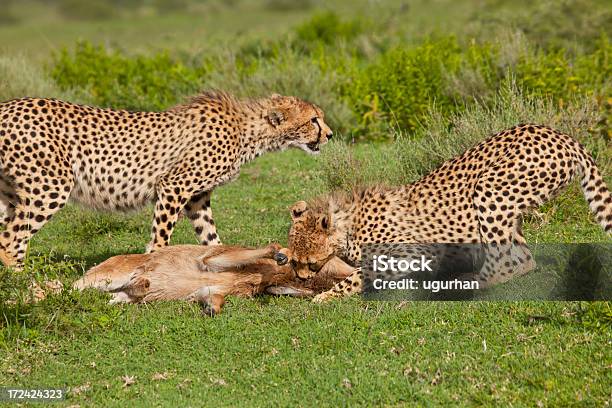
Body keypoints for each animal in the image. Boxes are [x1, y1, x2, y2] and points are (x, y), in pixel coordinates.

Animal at [0, 91, 332, 266]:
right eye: (313, 120)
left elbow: (211, 238)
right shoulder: (174, 186)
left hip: (11, 194)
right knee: (10, 239)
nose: (329, 135)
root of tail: (10, 105)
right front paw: (152, 265)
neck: (248, 131)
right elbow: (162, 235)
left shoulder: (197, 200)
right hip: (50, 187)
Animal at [274, 122, 608, 302]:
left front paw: (327, 295)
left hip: (489, 189)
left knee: (505, 263)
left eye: (310, 263)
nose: (301, 279)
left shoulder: (414, 251)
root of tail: (561, 135)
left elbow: (360, 275)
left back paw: (465, 283)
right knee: (524, 259)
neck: (347, 227)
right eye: (293, 261)